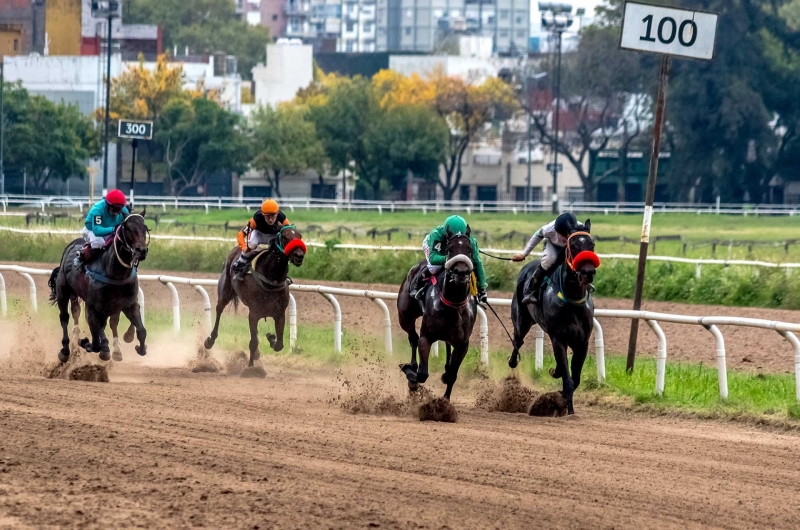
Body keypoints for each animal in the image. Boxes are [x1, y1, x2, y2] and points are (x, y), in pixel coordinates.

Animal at [48, 210, 150, 364]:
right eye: (128, 228)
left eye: (145, 228)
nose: (141, 251)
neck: (115, 273)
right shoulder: (94, 307)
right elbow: (96, 342)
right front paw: (85, 342)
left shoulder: (128, 304)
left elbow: (141, 330)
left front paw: (140, 347)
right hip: (63, 292)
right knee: (64, 317)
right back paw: (65, 350)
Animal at [203, 225, 306, 370]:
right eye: (285, 237)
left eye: (299, 236)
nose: (299, 255)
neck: (271, 279)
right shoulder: (254, 313)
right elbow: (253, 342)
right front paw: (251, 368)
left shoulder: (280, 314)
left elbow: (279, 345)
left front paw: (270, 337)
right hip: (225, 291)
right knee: (219, 309)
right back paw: (210, 340)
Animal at [398, 229, 478, 398]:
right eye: (450, 250)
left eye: (470, 250)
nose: (461, 272)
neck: (453, 304)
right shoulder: (427, 337)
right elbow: (422, 373)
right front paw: (411, 375)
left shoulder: (463, 344)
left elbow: (452, 375)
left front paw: (445, 399)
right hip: (405, 317)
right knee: (413, 338)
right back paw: (412, 366)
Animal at [510, 221, 596, 414]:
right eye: (573, 246)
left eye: (592, 245)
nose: (588, 272)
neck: (572, 300)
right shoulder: (558, 338)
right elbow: (568, 379)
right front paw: (567, 409)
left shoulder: (582, 342)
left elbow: (574, 378)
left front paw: (562, 396)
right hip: (522, 320)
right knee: (518, 340)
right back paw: (512, 362)